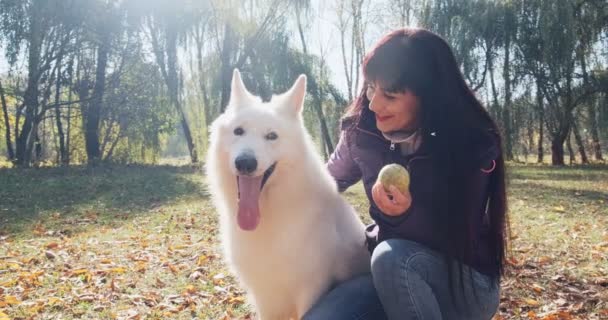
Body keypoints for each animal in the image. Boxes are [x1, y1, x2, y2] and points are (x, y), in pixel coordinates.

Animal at [205, 70, 370, 320]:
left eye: (272, 136)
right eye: (238, 131)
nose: (245, 163)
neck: (270, 215)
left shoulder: (310, 289)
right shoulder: (265, 296)